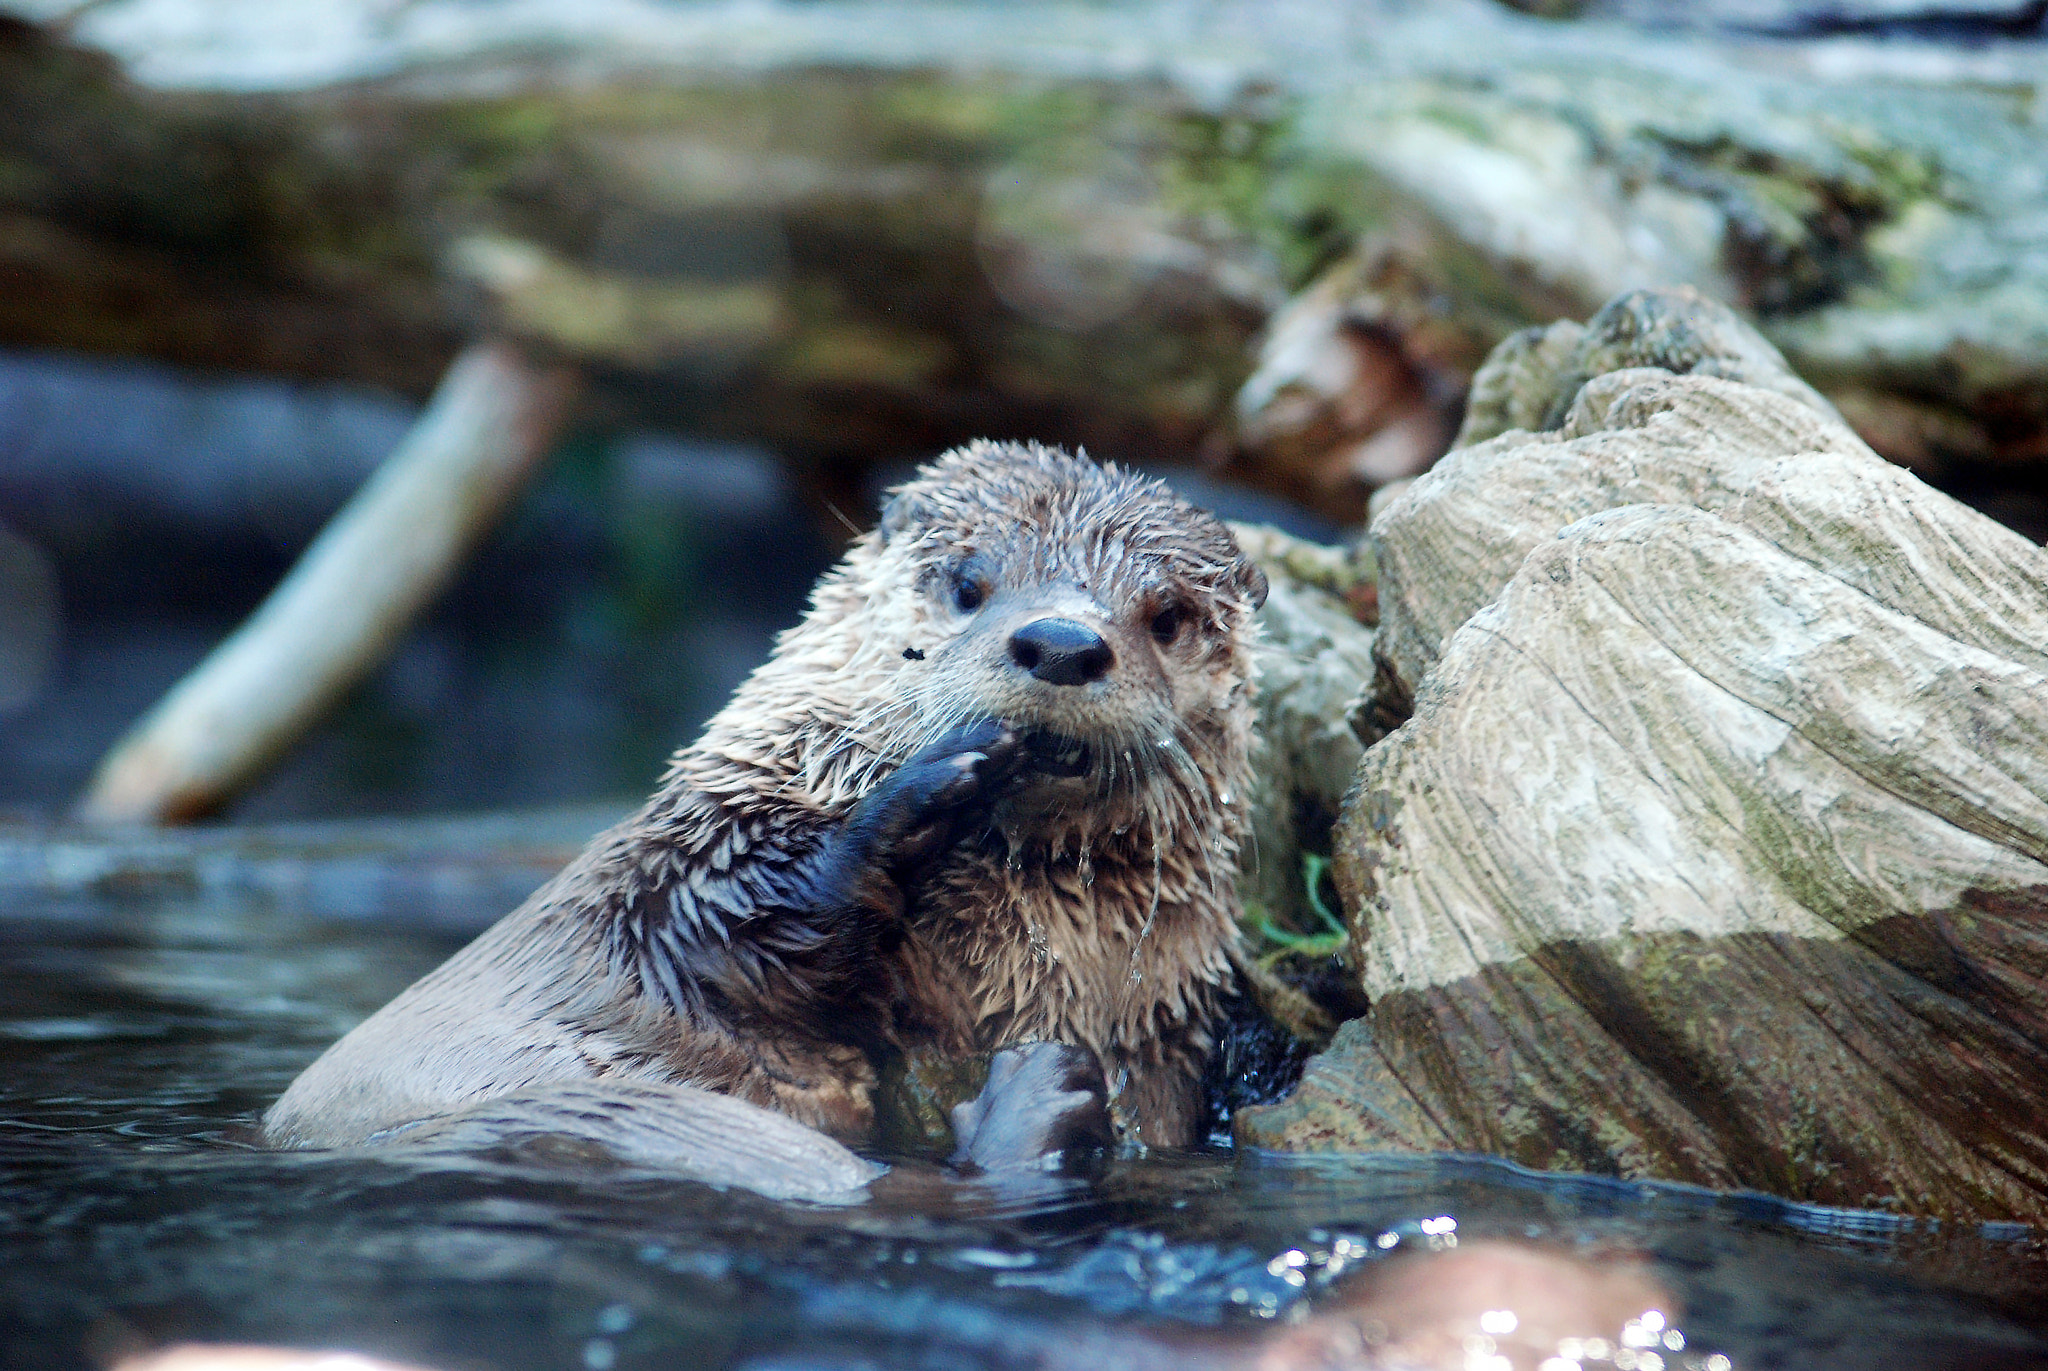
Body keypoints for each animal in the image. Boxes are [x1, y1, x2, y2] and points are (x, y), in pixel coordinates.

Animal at [263, 441, 1267, 1186]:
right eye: (968, 585)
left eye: (1167, 615)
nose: (1061, 641)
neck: (995, 965)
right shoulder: (691, 851)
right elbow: (723, 900)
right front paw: (919, 796)